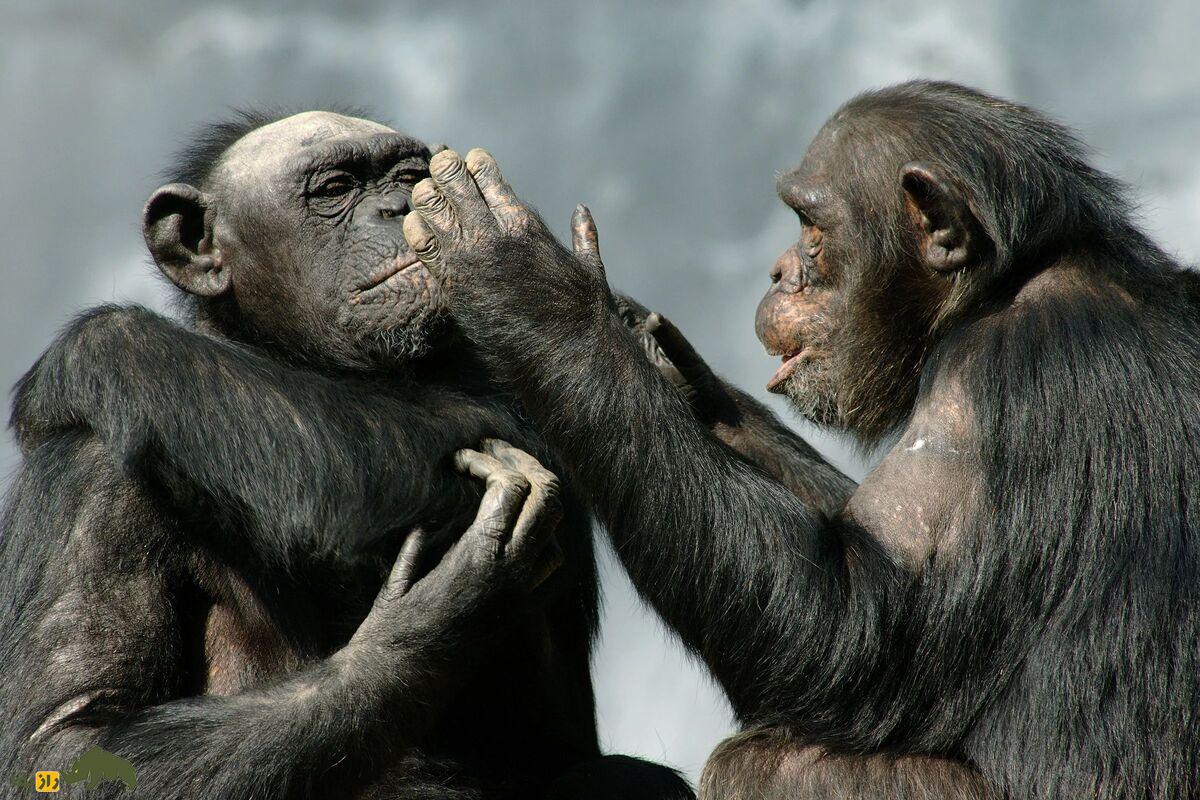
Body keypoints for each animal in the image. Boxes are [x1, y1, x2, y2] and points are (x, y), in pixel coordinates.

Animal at [0, 110, 696, 800]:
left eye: (409, 177)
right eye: (335, 189)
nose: (396, 207)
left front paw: (98, 345)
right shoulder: (92, 480)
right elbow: (70, 734)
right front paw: (429, 621)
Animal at [396, 82, 1200, 800]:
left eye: (812, 226)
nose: (781, 271)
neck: (1001, 288)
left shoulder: (979, 395)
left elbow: (854, 633)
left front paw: (528, 286)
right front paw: (646, 349)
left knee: (770, 764)